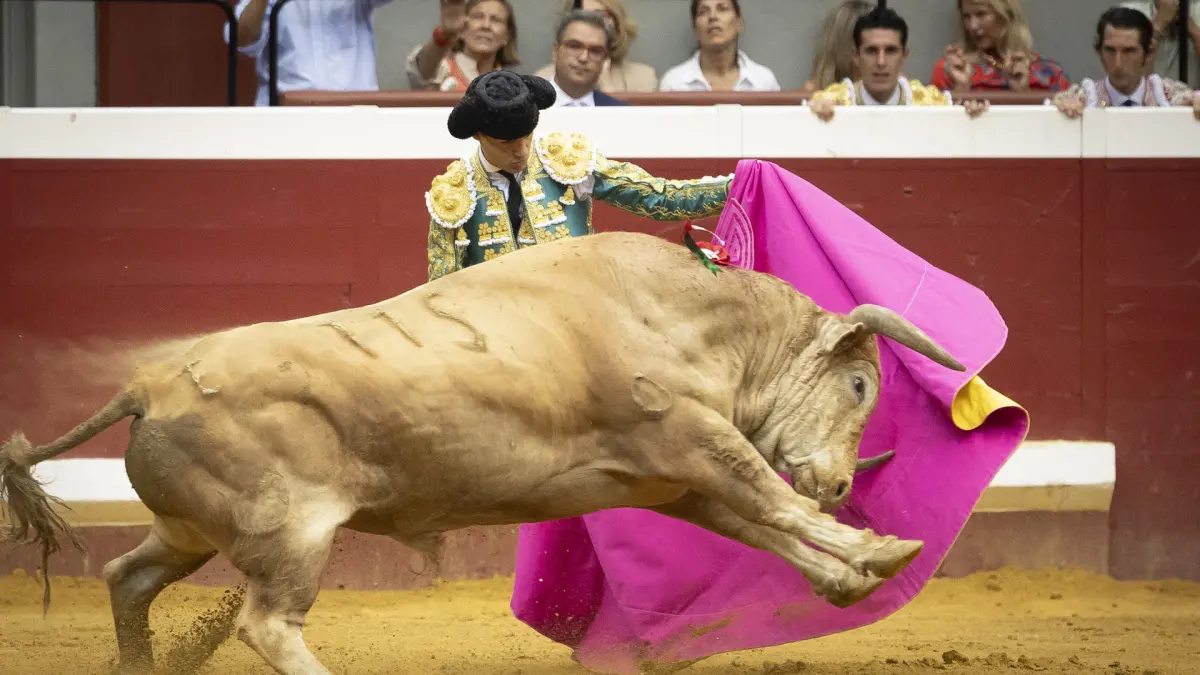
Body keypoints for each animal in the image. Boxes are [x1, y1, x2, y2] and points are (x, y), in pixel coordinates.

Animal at [0, 231, 964, 675]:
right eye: (860, 387)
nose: (838, 479)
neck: (690, 315)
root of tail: (147, 384)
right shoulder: (692, 438)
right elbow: (770, 499)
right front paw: (885, 548)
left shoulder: (669, 478)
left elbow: (760, 522)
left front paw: (849, 573)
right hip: (292, 533)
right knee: (266, 622)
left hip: (191, 530)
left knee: (127, 575)